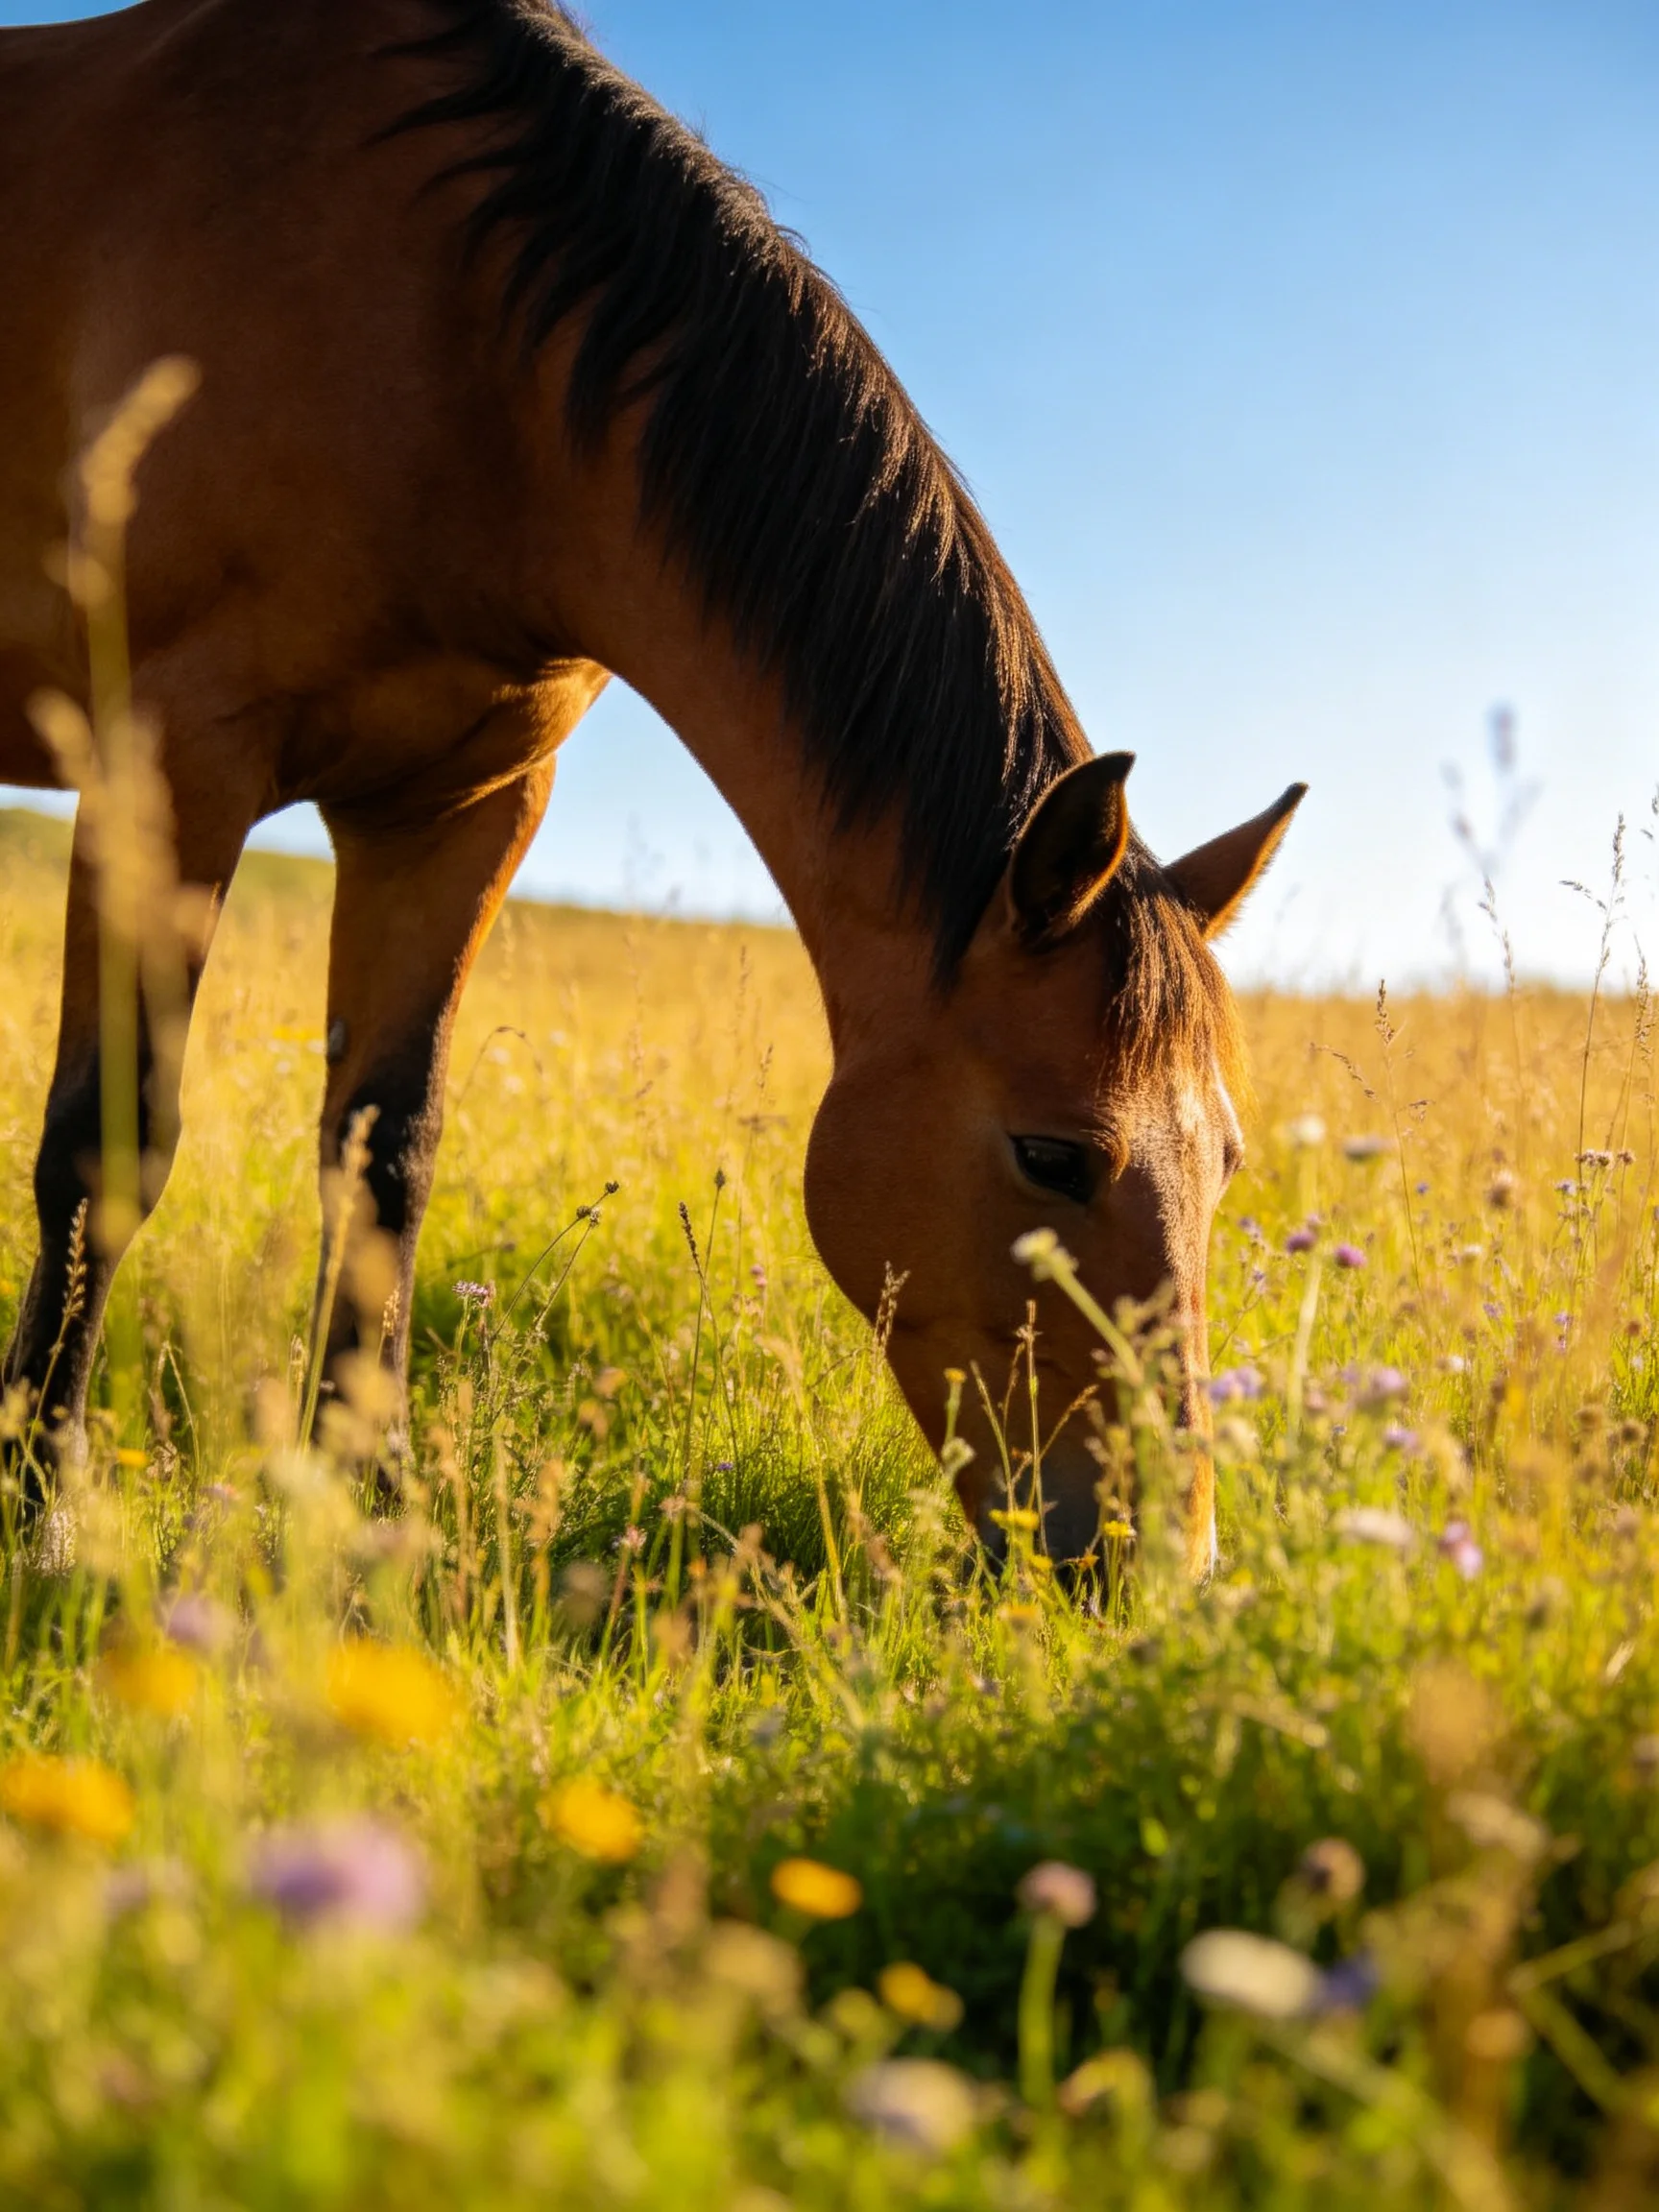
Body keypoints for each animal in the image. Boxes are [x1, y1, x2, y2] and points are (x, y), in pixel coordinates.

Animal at [0, 0, 1303, 1575]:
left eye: (1227, 1162)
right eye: (1055, 1156)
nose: (1160, 1558)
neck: (447, 335)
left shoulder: (460, 807)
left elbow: (383, 1160)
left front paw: (363, 1518)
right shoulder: (169, 759)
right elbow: (107, 1142)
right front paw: (38, 1518)